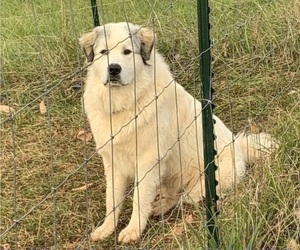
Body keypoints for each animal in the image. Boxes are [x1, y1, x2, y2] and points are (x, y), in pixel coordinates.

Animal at [79, 22, 274, 243]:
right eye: (103, 52)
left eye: (127, 52)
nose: (113, 69)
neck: (125, 103)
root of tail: (238, 144)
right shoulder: (113, 162)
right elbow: (111, 199)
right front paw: (106, 228)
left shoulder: (147, 162)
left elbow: (139, 199)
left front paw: (133, 230)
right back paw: (158, 206)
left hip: (200, 185)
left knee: (183, 197)